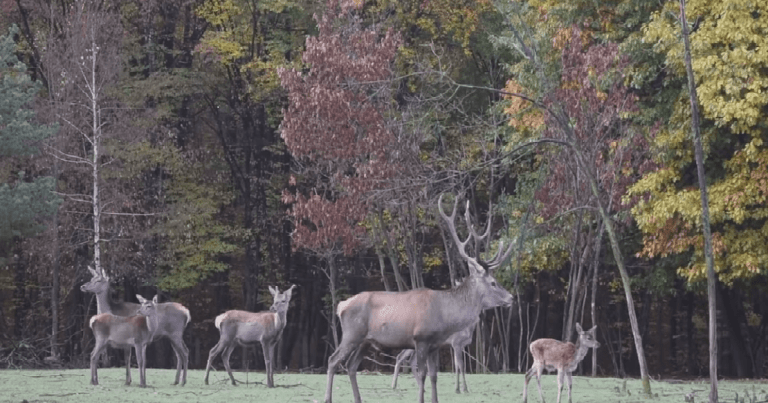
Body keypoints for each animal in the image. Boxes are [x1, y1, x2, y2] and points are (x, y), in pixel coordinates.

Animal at [326, 193, 516, 403]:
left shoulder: (435, 345)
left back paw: (358, 399)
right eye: (493, 282)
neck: (445, 315)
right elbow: (422, 373)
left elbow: (434, 376)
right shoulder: (421, 339)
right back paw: (328, 398)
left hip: (365, 341)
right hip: (352, 333)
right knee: (333, 360)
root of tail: (341, 306)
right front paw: (422, 398)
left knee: (351, 366)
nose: (511, 297)